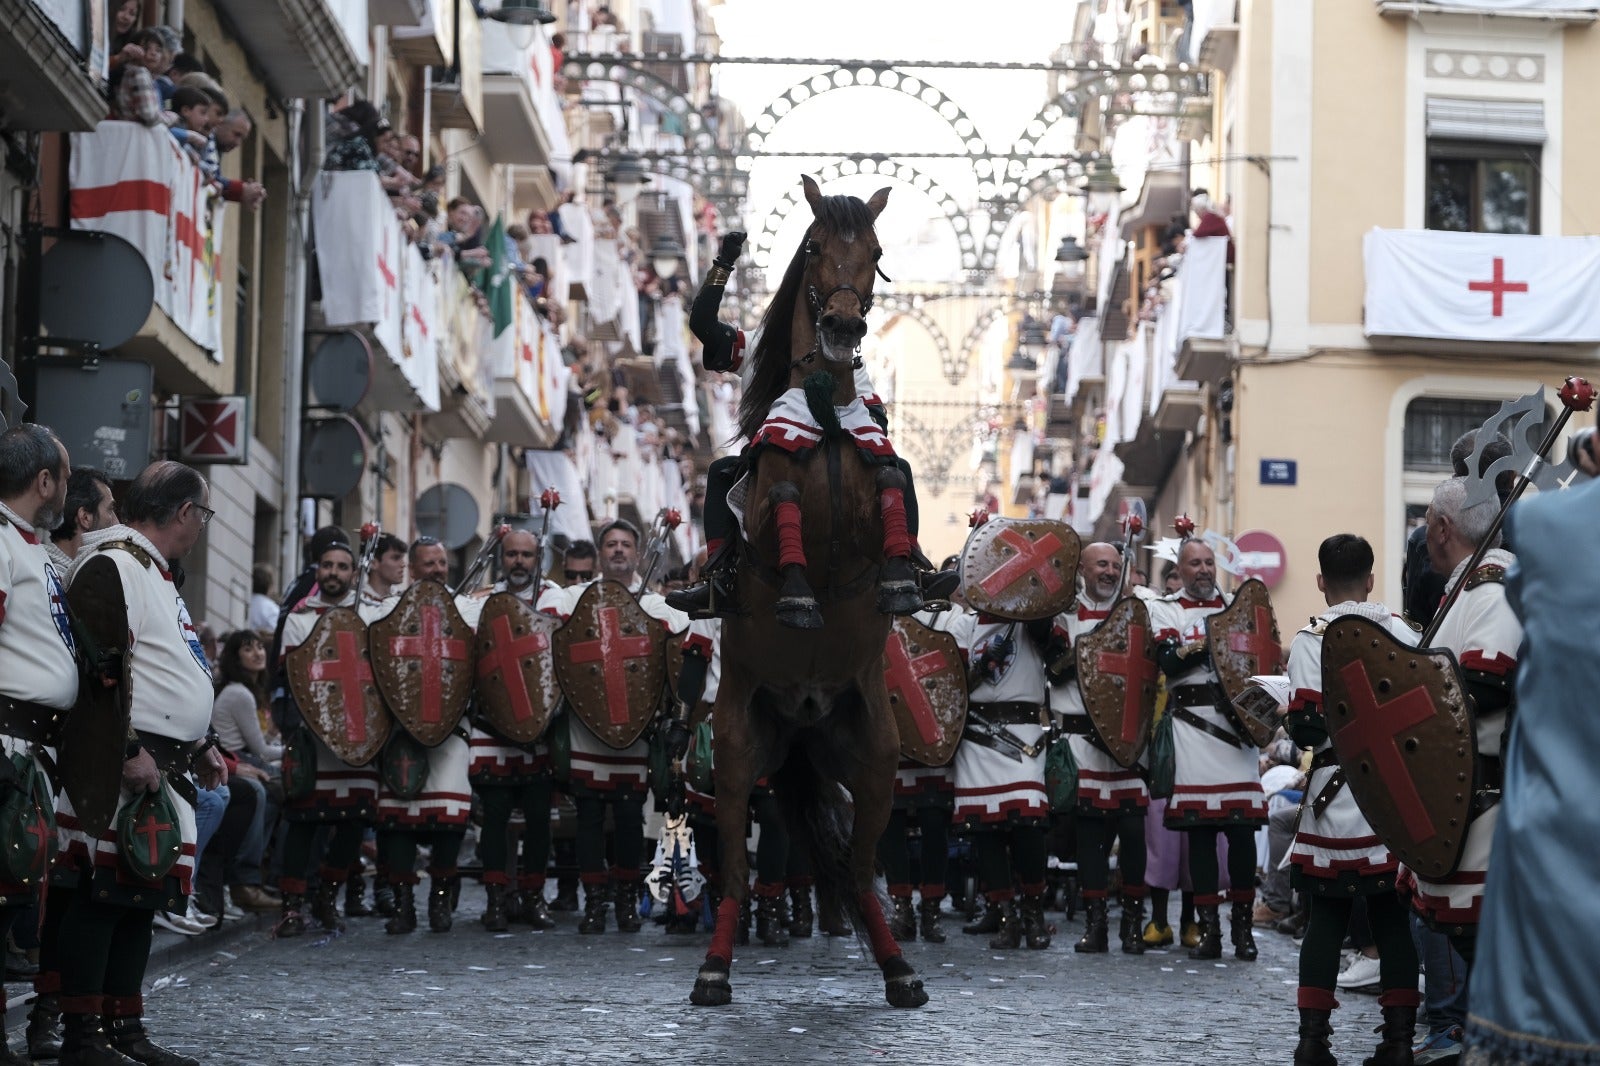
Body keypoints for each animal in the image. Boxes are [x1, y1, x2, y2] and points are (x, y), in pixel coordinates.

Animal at [688, 174, 928, 1005]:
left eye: (878, 251)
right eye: (816, 247)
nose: (843, 325)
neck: (824, 413)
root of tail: (800, 718)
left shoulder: (873, 466)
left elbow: (889, 482)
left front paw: (903, 579)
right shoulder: (774, 484)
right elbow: (785, 495)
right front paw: (794, 592)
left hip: (874, 757)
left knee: (857, 873)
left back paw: (899, 969)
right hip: (736, 750)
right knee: (732, 871)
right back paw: (714, 968)